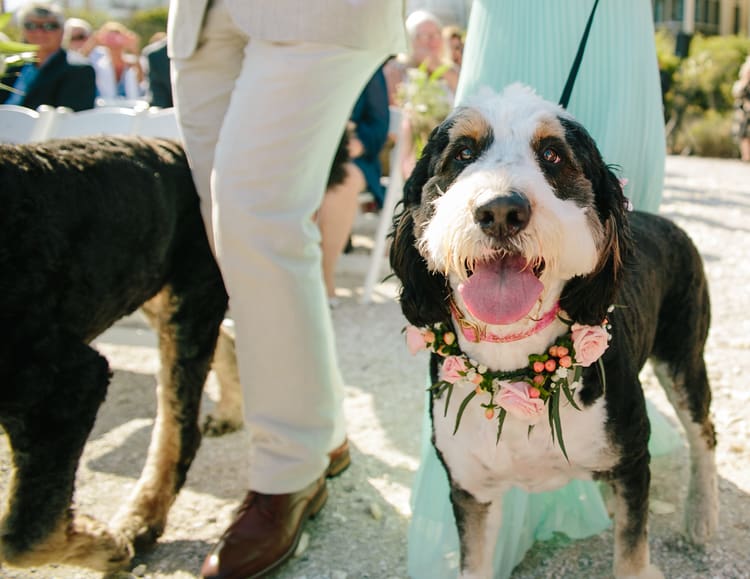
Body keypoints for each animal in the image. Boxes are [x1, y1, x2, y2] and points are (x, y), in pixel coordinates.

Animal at [0, 137, 229, 576]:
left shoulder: (65, 386)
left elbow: (26, 536)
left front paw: (110, 546)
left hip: (187, 302)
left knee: (179, 434)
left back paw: (139, 522)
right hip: (155, 292)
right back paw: (230, 415)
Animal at [390, 86, 720, 579]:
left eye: (552, 155)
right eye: (463, 153)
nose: (501, 211)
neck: (514, 368)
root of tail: (666, 221)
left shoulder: (632, 460)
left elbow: (631, 553)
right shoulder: (470, 487)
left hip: (685, 358)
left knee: (704, 434)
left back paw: (701, 515)